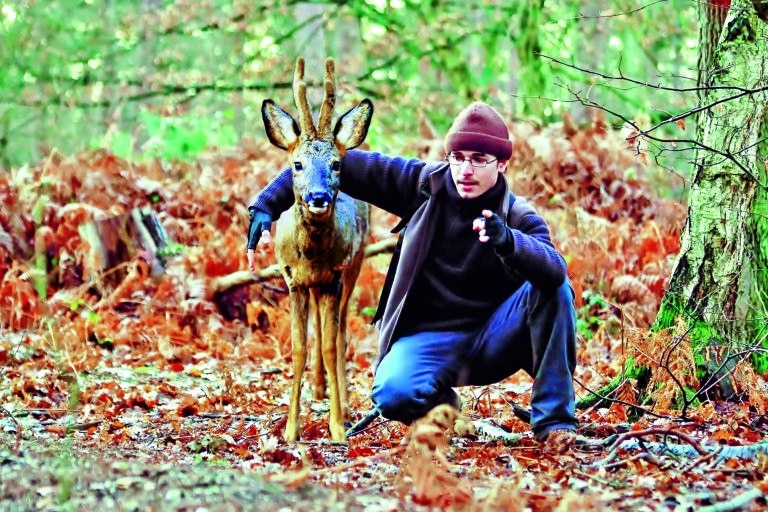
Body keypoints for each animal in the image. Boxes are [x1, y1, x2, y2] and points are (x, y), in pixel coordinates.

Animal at [262, 57, 374, 440]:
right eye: (297, 164)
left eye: (335, 164)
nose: (318, 197)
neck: (310, 257)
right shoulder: (292, 280)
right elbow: (298, 347)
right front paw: (290, 429)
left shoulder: (335, 276)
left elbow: (328, 344)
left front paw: (337, 426)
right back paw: (318, 388)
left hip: (355, 266)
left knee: (338, 336)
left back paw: (344, 404)